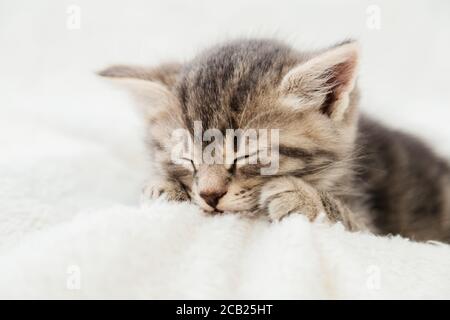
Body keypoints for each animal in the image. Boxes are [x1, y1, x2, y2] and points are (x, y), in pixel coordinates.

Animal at [100, 38, 450, 242]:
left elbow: (353, 226)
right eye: (187, 158)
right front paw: (164, 185)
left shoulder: (379, 230)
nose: (210, 195)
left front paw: (305, 198)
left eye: (246, 155)